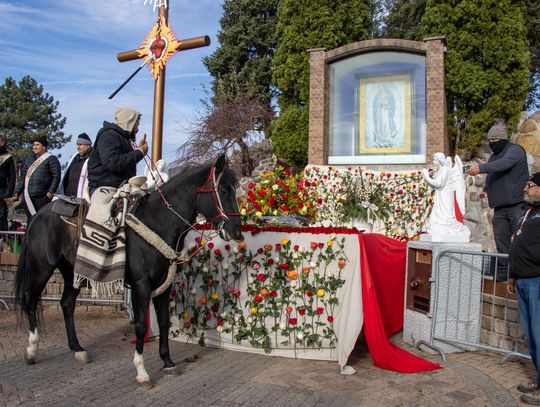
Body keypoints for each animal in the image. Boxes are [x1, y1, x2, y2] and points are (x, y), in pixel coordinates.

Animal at [14, 155, 243, 388]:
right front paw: (142, 372)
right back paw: (31, 350)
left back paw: (78, 349)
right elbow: (141, 325)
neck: (157, 222)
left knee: (67, 304)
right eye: (224, 189)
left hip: (73, 272)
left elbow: (163, 321)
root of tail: (37, 215)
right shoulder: (141, 285)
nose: (237, 231)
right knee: (30, 299)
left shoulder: (164, 283)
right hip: (42, 268)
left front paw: (167, 362)